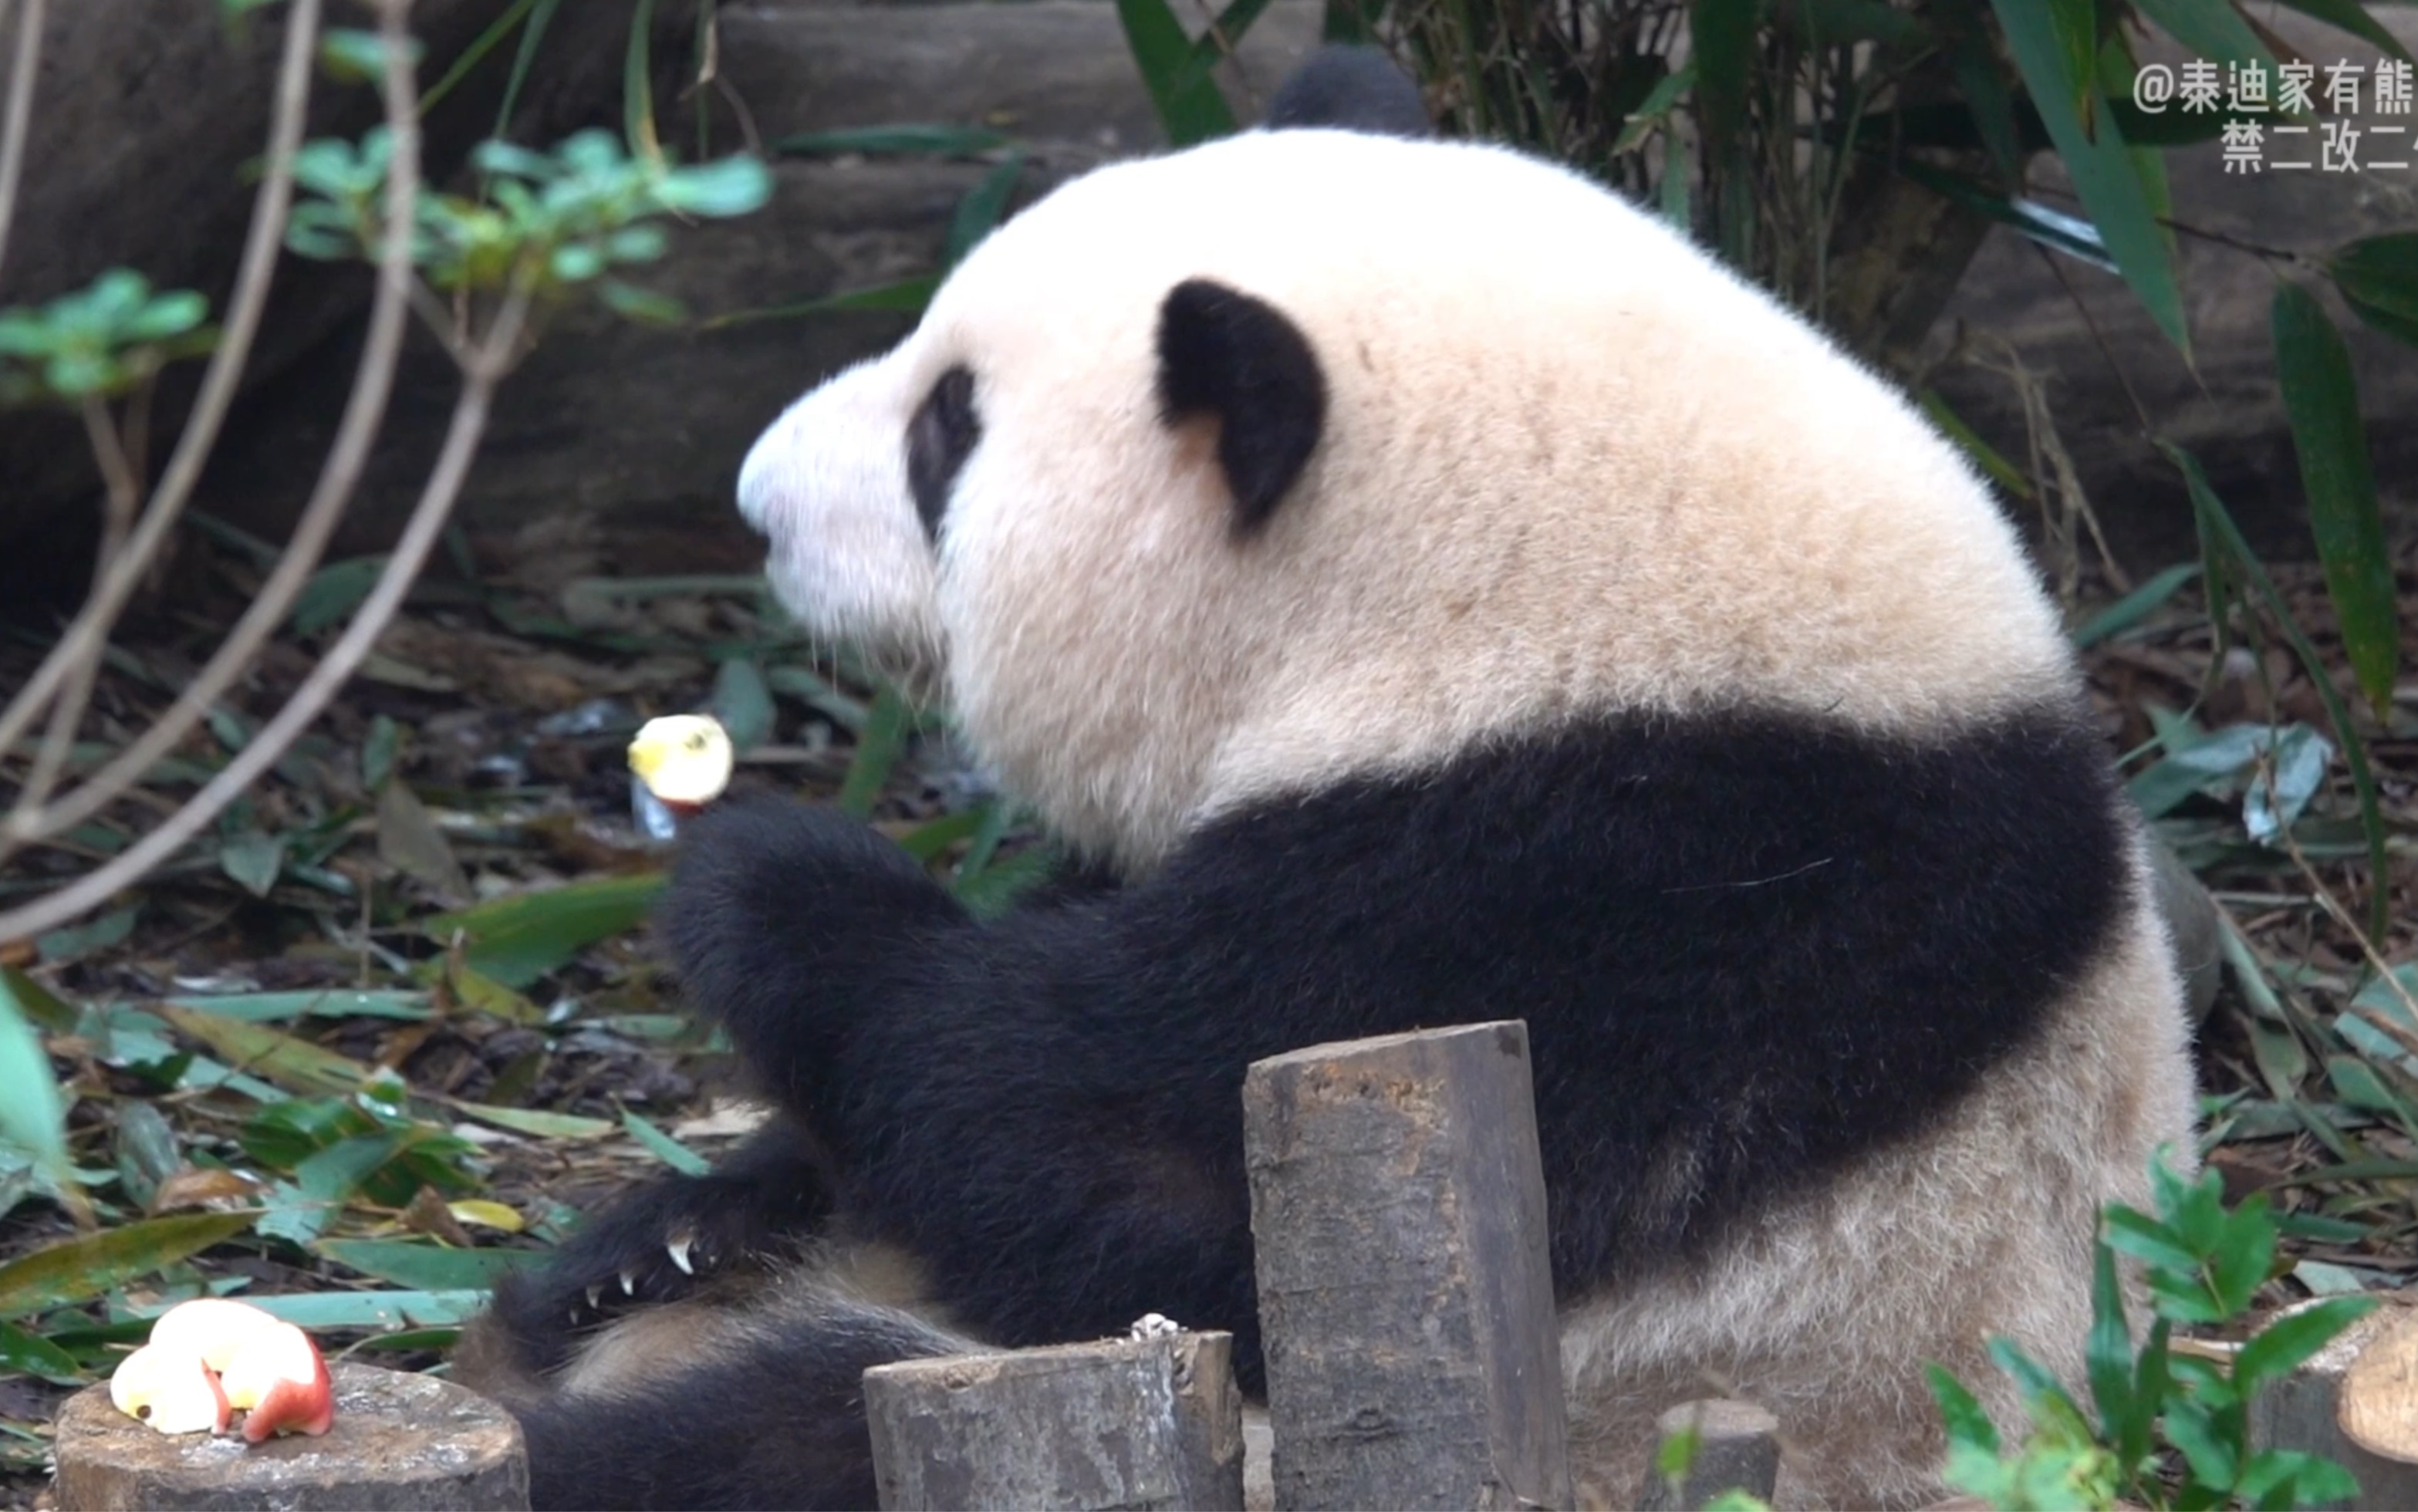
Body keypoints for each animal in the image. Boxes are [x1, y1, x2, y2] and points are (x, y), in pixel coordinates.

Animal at [444, 50, 2205, 1509]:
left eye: (948, 432)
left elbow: (1108, 1165)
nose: (754, 499)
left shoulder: (1614, 894)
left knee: (776, 1439)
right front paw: (670, 1216)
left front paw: (762, 880)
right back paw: (622, 1283)